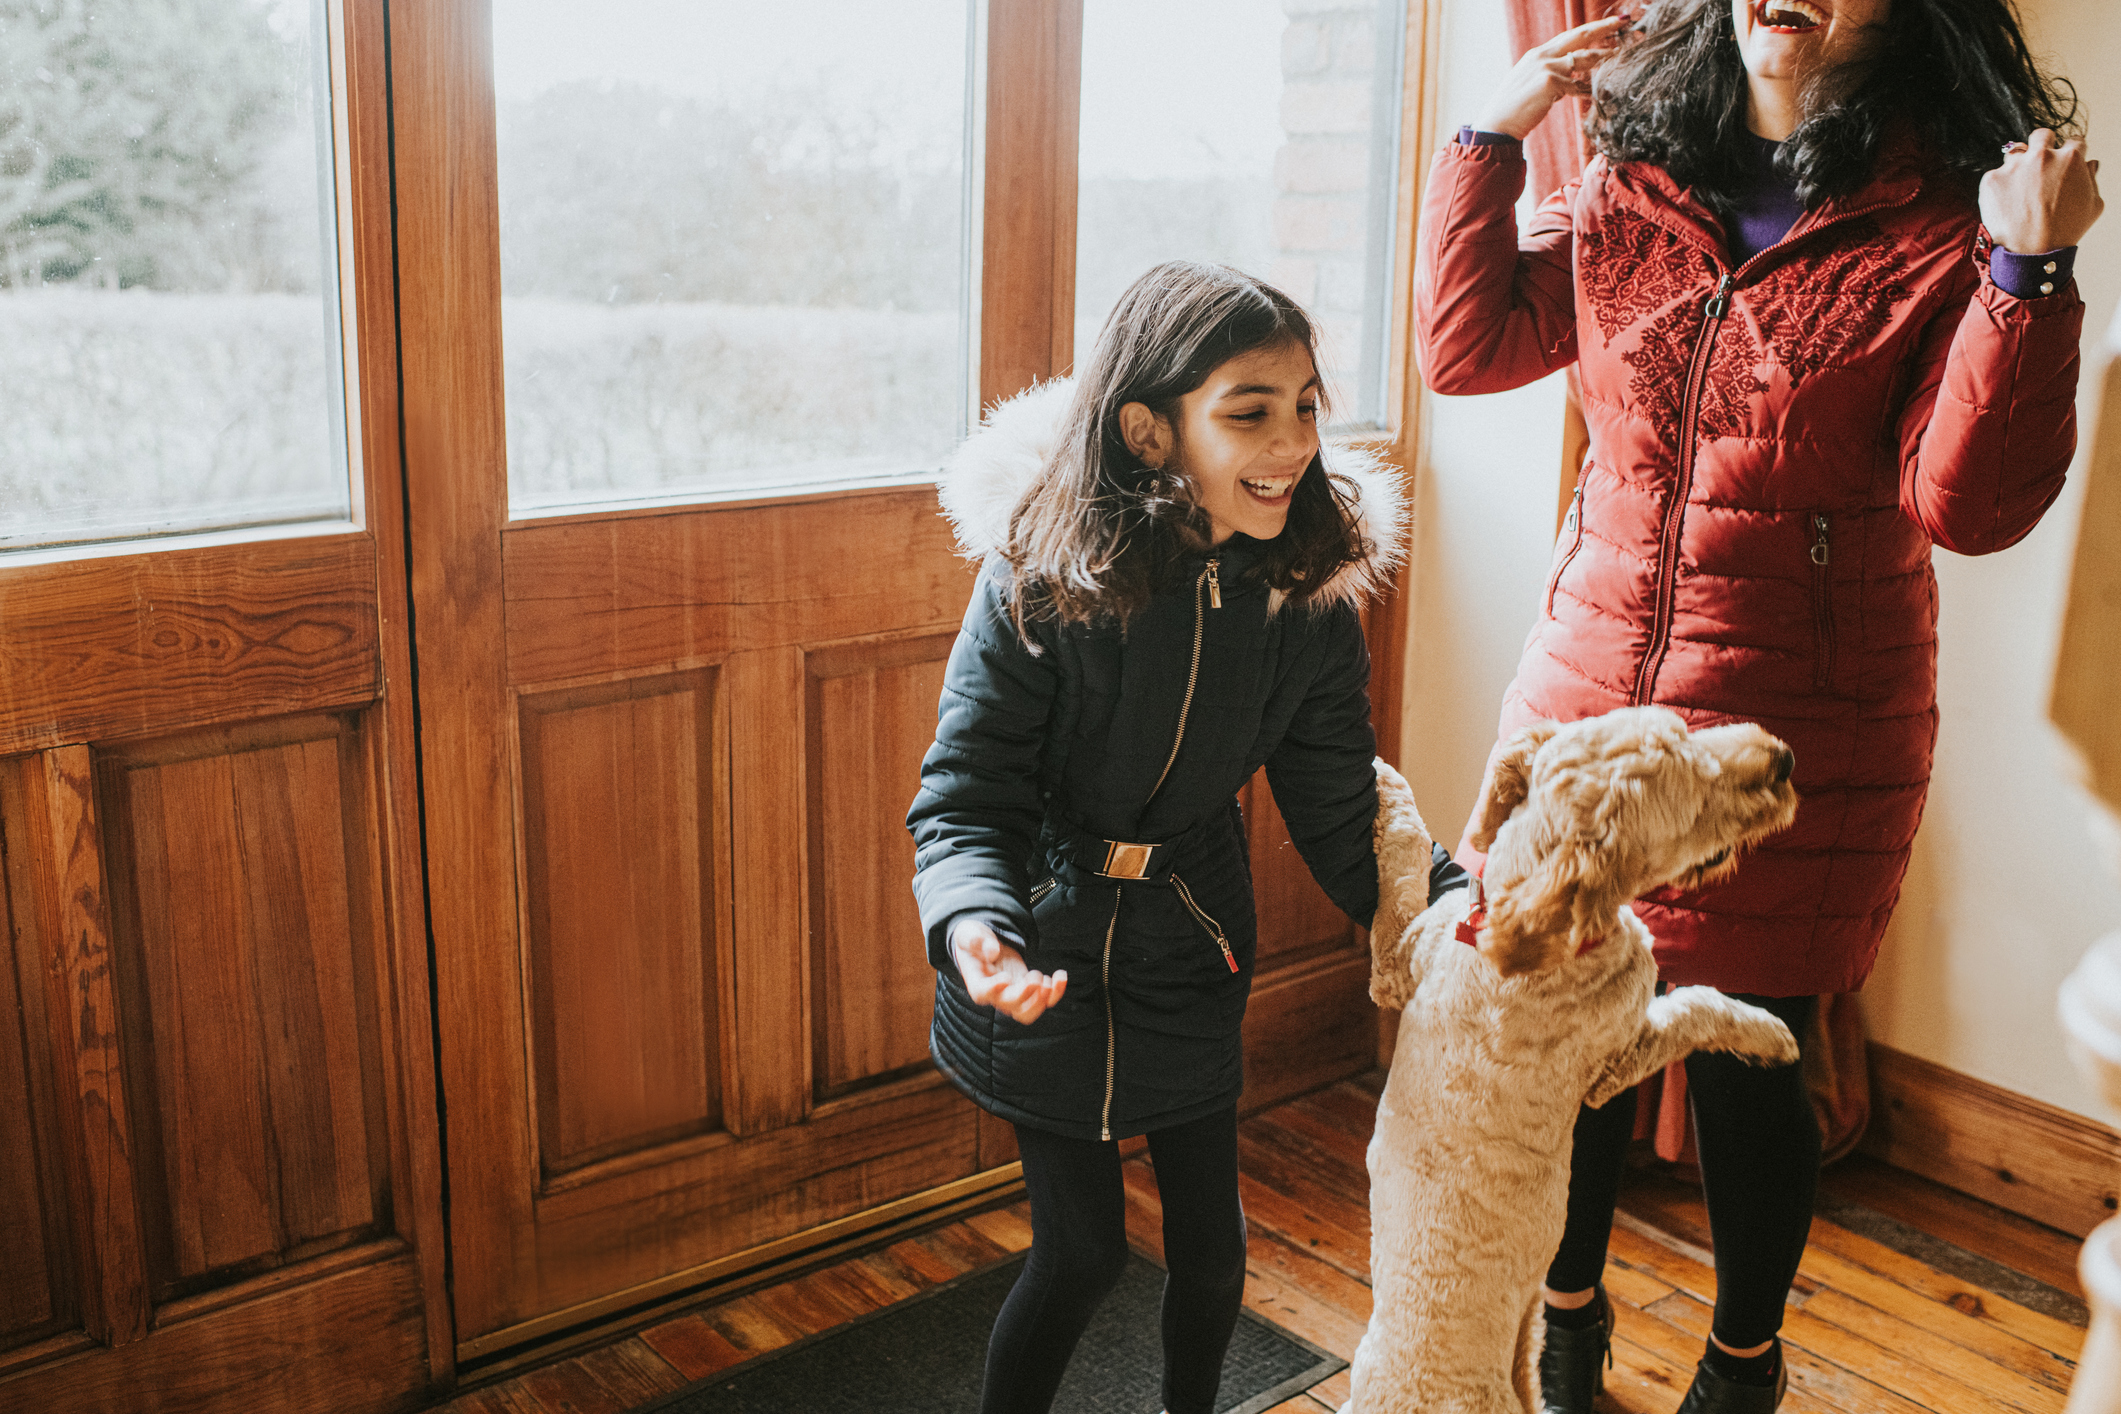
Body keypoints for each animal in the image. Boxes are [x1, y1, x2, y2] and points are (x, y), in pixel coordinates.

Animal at [1348, 708, 1798, 1414]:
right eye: (1697, 801)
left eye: (1686, 726)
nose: (1783, 758)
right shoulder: (1618, 1056)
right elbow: (1696, 1005)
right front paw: (1770, 1031)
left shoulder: (1402, 964)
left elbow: (1404, 866)